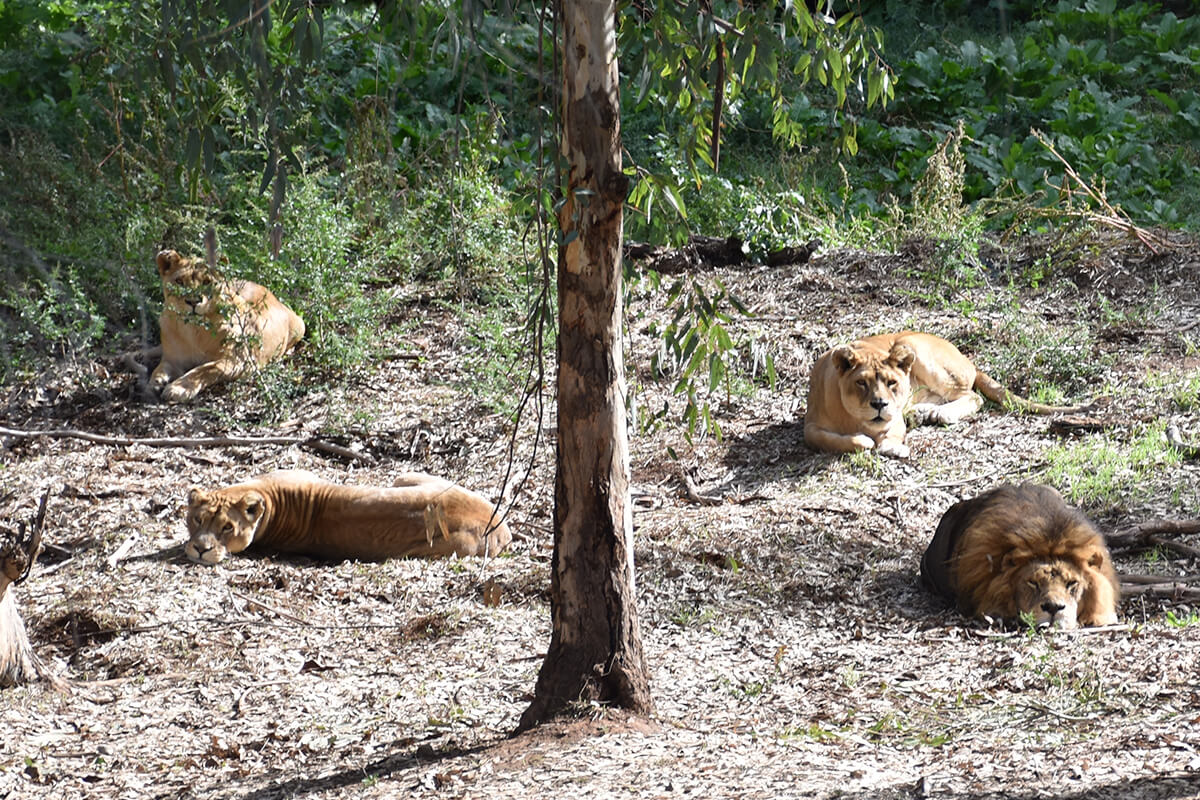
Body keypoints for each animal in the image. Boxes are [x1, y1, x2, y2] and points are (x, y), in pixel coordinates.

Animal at [148, 247, 304, 402]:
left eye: (207, 282)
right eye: (179, 281)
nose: (193, 301)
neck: (193, 330)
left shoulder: (241, 361)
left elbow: (206, 368)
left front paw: (179, 388)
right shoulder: (172, 360)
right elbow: (159, 369)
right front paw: (155, 383)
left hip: (300, 325)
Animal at [801, 331, 1084, 455]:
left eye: (892, 383)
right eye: (861, 382)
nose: (880, 404)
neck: (855, 419)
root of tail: (967, 358)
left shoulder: (893, 417)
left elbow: (892, 432)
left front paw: (893, 447)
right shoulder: (810, 427)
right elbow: (830, 439)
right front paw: (864, 441)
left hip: (911, 344)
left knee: (973, 396)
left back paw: (938, 415)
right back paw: (922, 412)